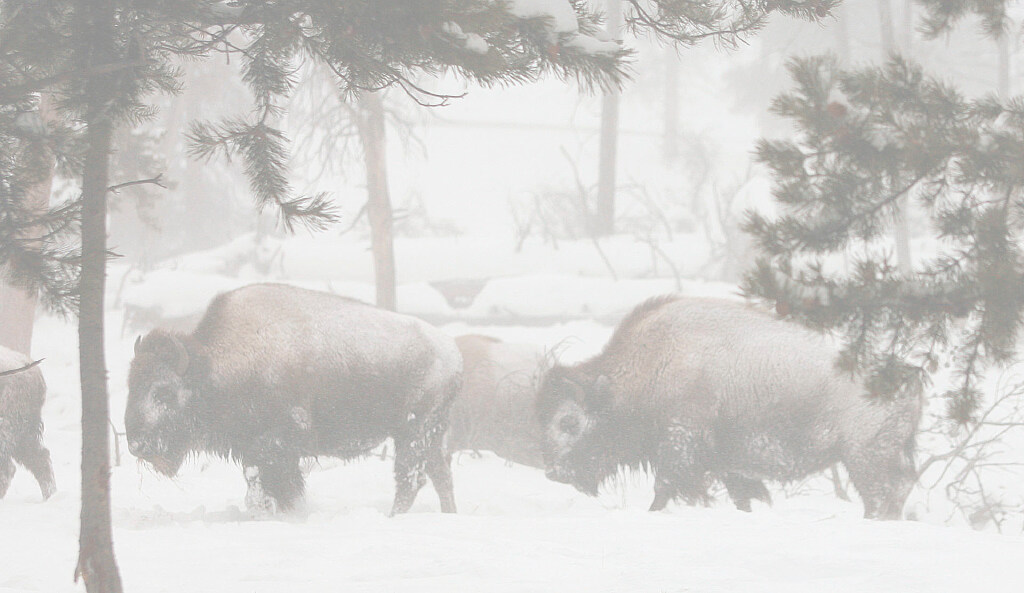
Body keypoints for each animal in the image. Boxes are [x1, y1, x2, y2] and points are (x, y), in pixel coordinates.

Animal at [125, 283, 462, 515]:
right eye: (131, 385)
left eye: (163, 392)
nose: (136, 445)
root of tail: (452, 352)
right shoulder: (255, 448)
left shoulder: (281, 441)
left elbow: (274, 481)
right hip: (428, 434)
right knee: (439, 475)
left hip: (413, 431)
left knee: (411, 479)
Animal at [537, 296, 921, 519]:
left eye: (569, 422)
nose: (554, 472)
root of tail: (909, 379)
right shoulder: (730, 465)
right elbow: (742, 496)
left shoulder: (681, 444)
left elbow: (665, 488)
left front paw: (653, 513)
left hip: (864, 458)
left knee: (882, 495)